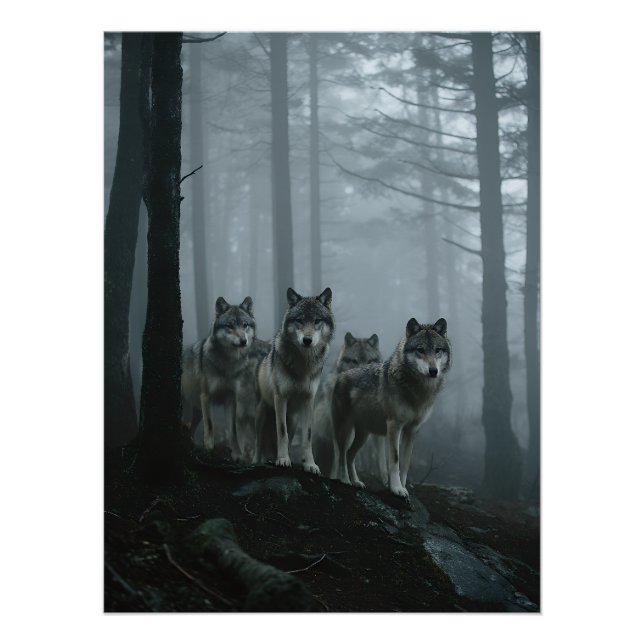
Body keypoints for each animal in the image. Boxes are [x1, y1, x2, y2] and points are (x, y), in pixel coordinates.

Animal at [181, 296, 256, 459]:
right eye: (230, 326)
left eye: (245, 325)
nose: (243, 341)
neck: (228, 364)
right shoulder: (206, 397)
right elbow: (210, 425)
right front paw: (209, 449)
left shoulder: (230, 398)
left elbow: (233, 430)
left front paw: (237, 454)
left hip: (196, 412)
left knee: (189, 430)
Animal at [254, 287, 334, 473]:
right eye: (299, 320)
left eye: (317, 321)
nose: (307, 340)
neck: (303, 364)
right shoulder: (280, 398)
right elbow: (281, 432)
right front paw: (283, 459)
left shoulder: (308, 400)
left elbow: (308, 436)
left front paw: (310, 464)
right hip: (262, 415)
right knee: (257, 444)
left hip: (293, 421)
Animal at [332, 317, 451, 498]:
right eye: (420, 350)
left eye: (437, 350)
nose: (433, 371)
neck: (417, 391)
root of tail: (341, 376)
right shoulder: (394, 426)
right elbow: (394, 460)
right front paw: (396, 489)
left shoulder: (412, 431)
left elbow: (405, 464)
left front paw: (403, 487)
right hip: (345, 429)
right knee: (341, 454)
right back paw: (345, 480)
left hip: (363, 435)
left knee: (350, 455)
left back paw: (357, 482)